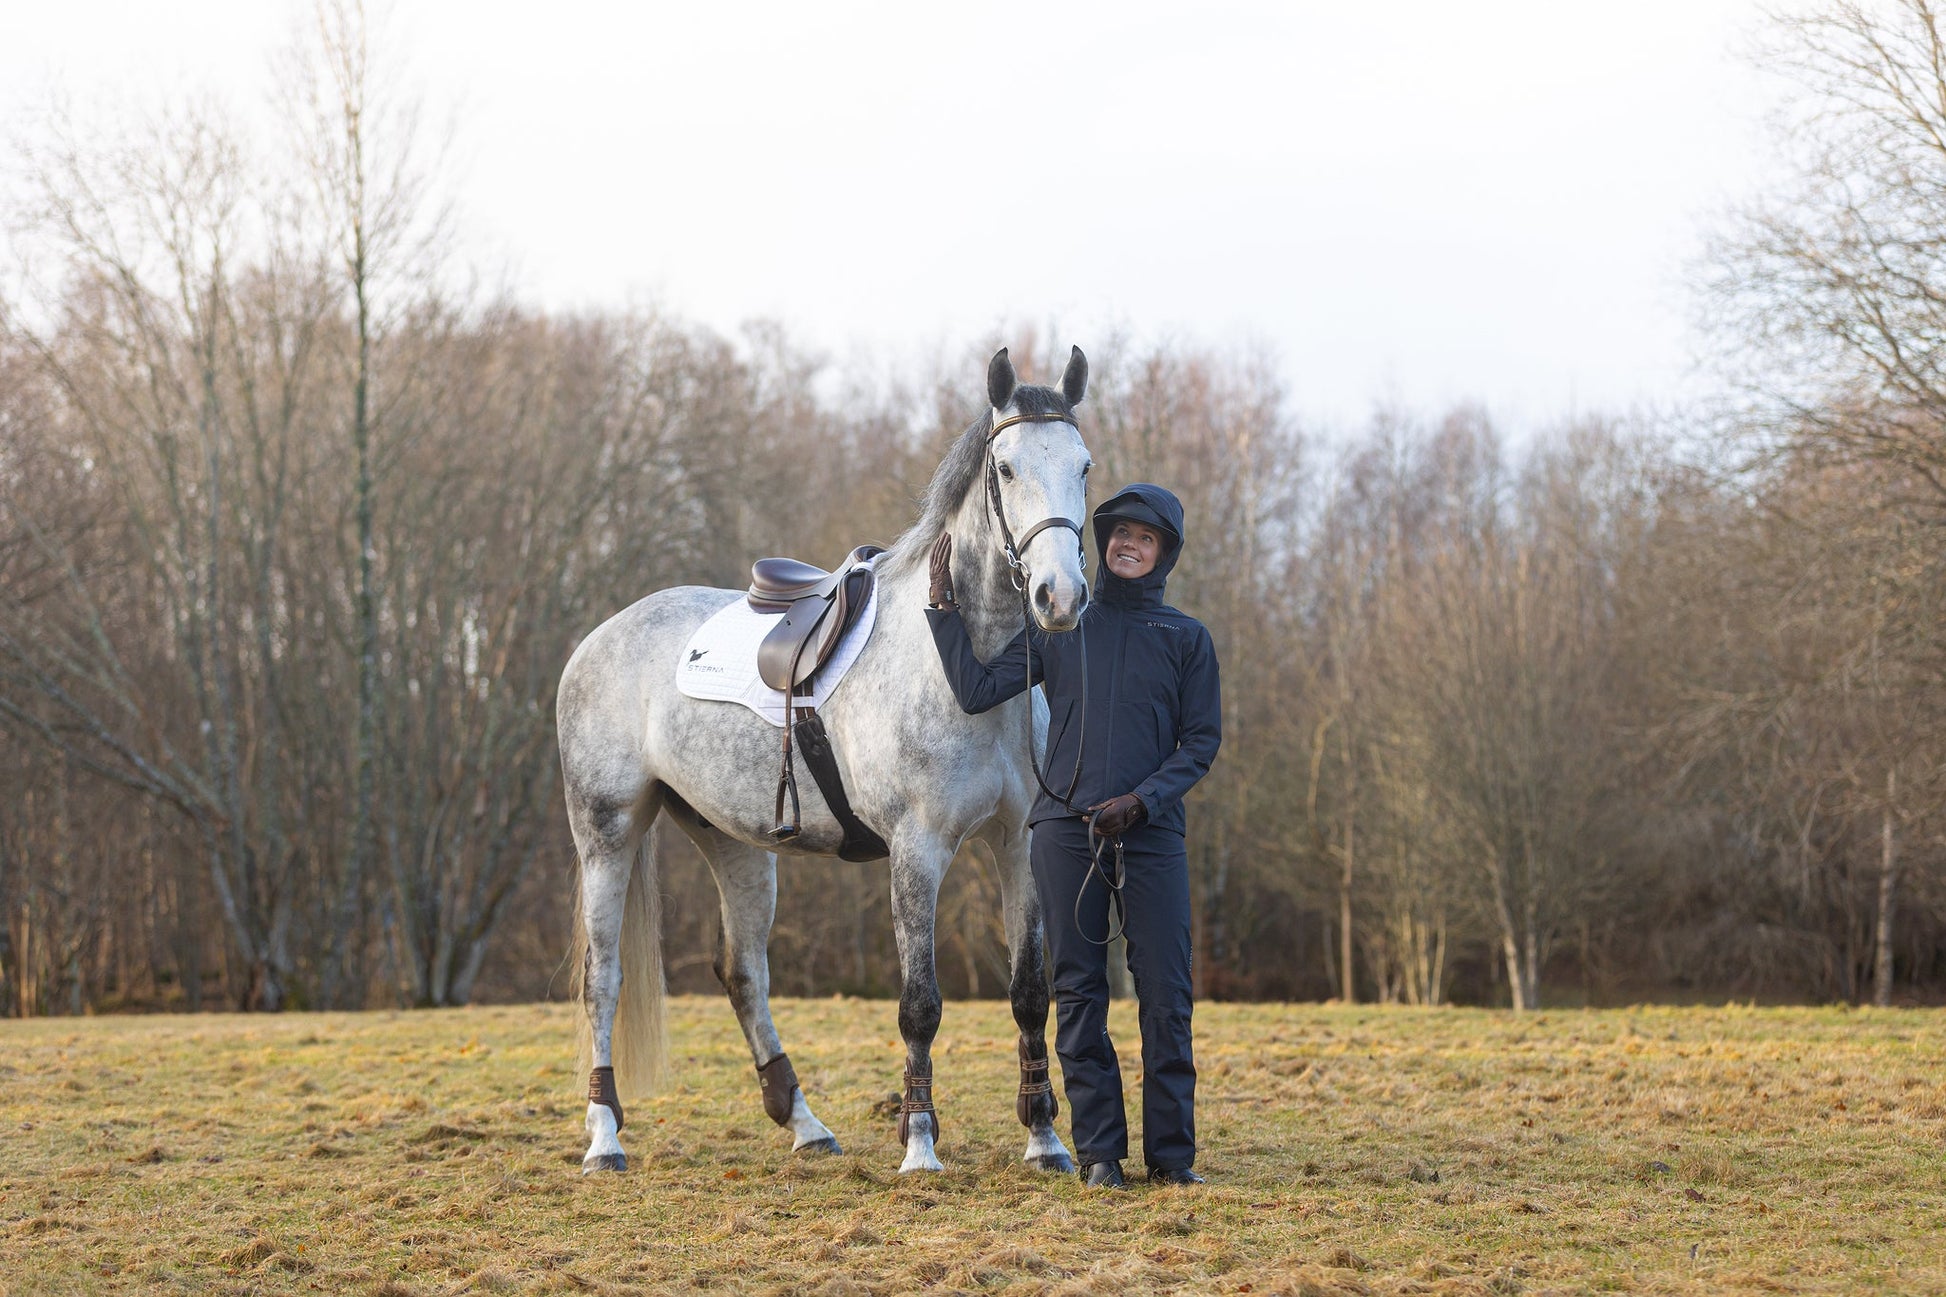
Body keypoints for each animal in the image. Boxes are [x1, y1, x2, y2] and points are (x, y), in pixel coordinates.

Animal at [556, 342, 1097, 1168]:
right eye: (1005, 469)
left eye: (1084, 466)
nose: (1059, 596)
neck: (968, 667)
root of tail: (597, 639)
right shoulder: (917, 849)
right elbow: (920, 1004)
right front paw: (920, 1144)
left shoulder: (1016, 844)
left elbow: (1030, 992)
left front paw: (1043, 1136)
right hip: (607, 834)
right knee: (605, 979)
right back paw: (605, 1136)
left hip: (735, 843)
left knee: (743, 973)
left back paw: (804, 1121)